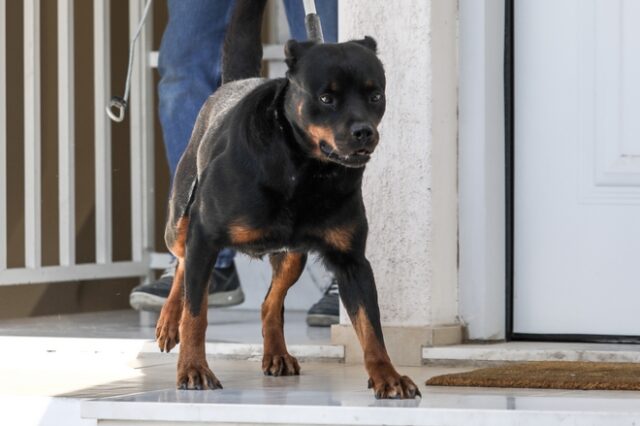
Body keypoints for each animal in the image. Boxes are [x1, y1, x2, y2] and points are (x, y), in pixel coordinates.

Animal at [156, 0, 420, 400]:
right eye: (326, 98)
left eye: (376, 96)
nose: (364, 133)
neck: (303, 170)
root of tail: (233, 83)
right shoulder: (205, 234)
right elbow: (197, 314)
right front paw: (193, 368)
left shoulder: (351, 261)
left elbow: (370, 326)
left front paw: (387, 376)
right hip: (181, 221)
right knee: (185, 268)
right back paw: (171, 320)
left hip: (292, 254)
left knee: (270, 303)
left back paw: (277, 354)